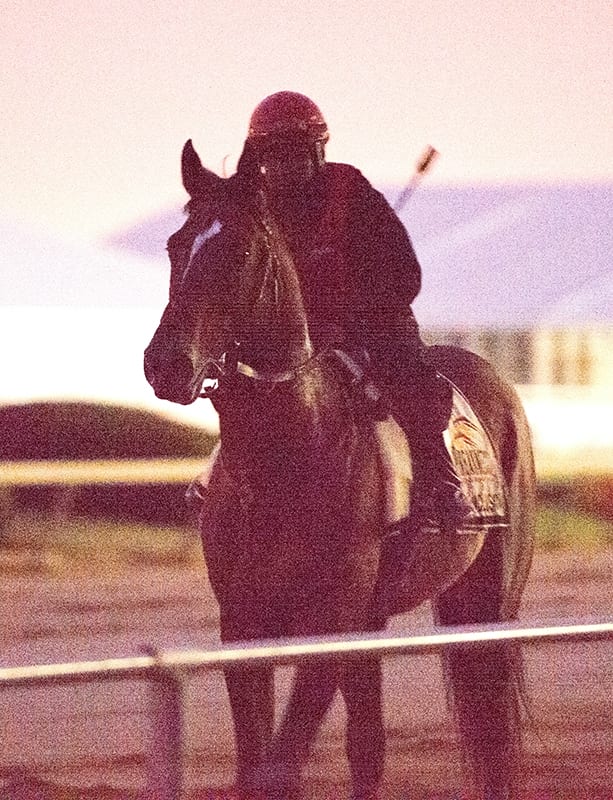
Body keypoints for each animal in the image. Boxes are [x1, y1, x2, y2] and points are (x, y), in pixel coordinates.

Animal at [143, 144, 536, 800]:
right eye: (176, 246)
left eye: (240, 251)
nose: (165, 363)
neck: (286, 460)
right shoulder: (244, 624)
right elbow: (262, 765)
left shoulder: (332, 623)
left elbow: (279, 766)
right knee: (370, 743)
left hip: (484, 602)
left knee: (493, 732)